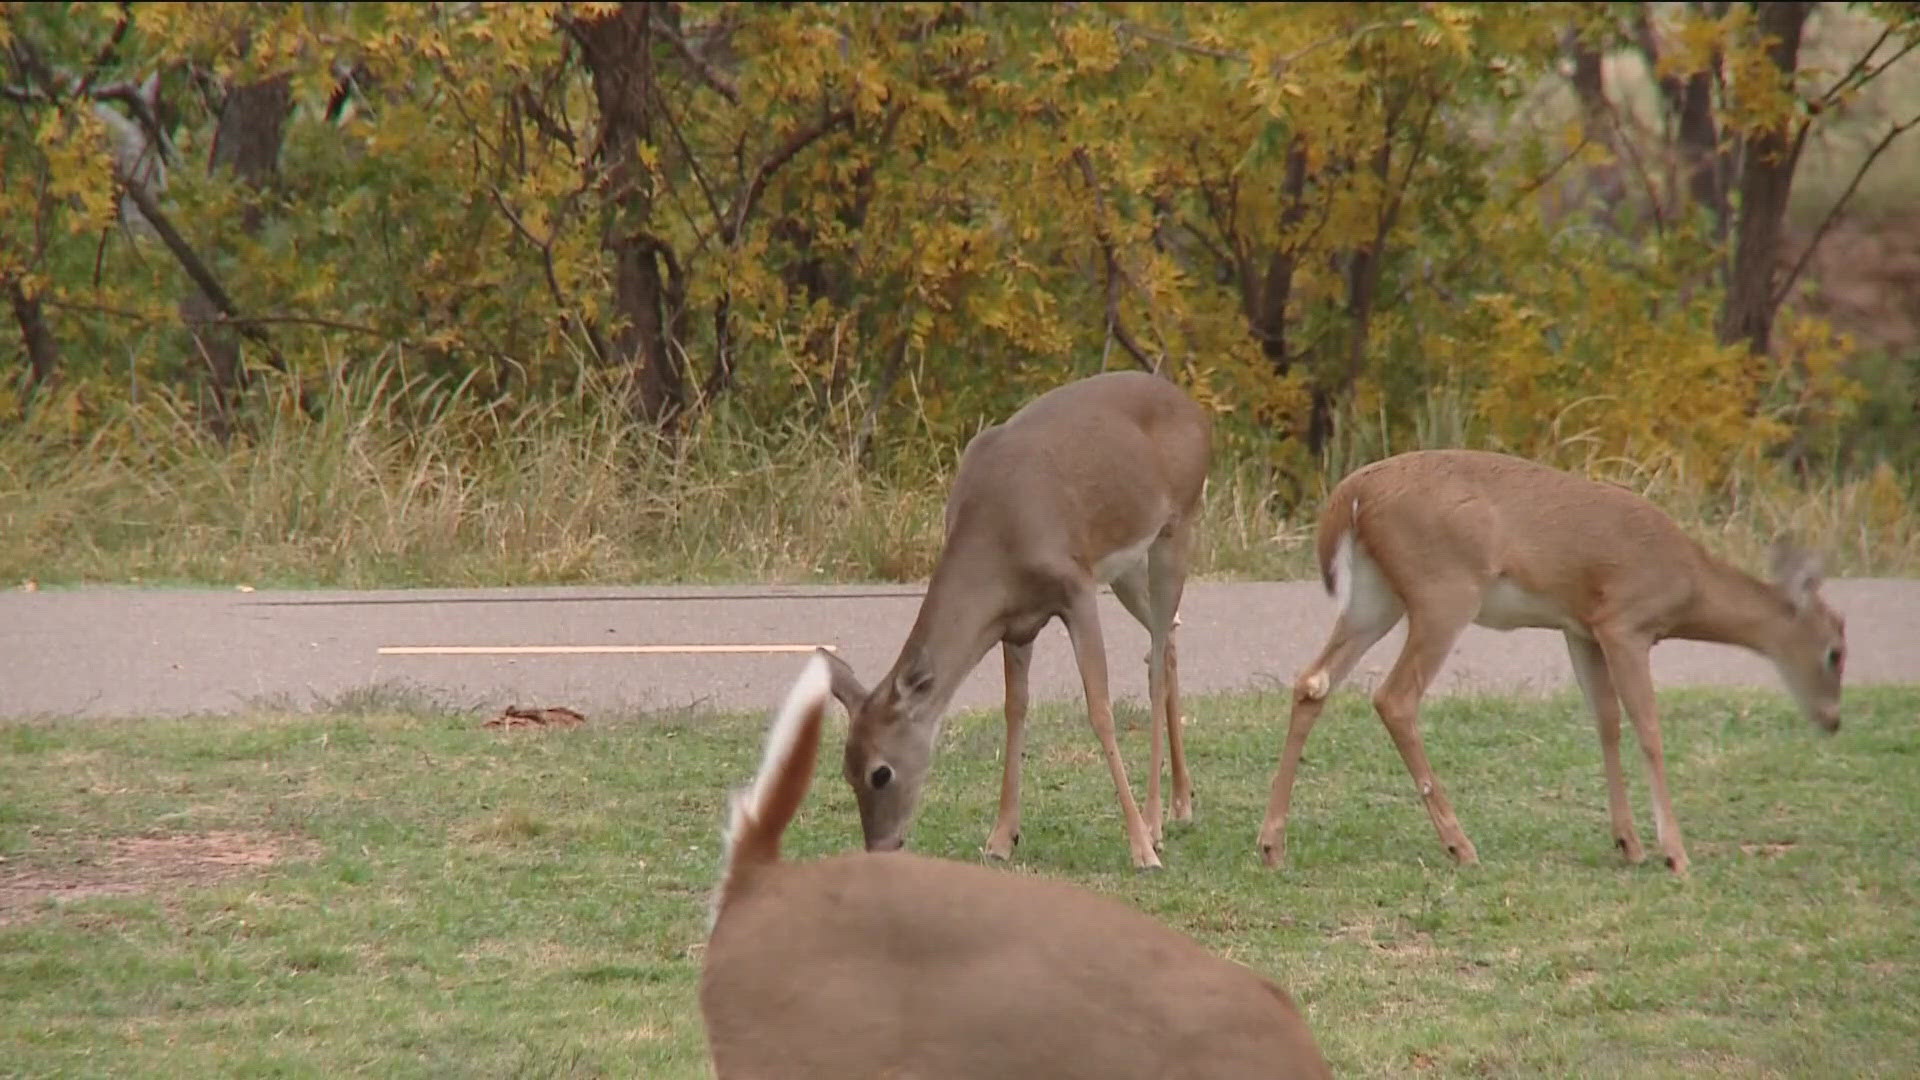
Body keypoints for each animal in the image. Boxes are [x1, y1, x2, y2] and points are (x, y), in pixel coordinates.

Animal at [817, 367, 1205, 864]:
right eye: (845, 771)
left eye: (880, 772)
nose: (879, 847)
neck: (1000, 535)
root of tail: (1193, 408)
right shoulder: (1015, 623)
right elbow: (1014, 708)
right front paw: (1002, 838)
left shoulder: (1076, 587)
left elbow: (1099, 709)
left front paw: (1139, 847)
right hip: (1128, 570)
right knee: (1167, 638)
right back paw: (1181, 803)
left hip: (1177, 528)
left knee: (1155, 661)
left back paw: (1155, 823)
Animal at [1251, 445, 1850, 876]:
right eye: (1835, 652)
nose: (1833, 720)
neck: (1690, 585)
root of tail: (1351, 494)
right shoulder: (1626, 622)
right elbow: (1648, 726)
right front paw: (1675, 853)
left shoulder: (1580, 629)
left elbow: (1605, 720)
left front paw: (1628, 842)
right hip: (1445, 588)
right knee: (1394, 697)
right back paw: (1460, 845)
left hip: (1376, 597)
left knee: (1313, 681)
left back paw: (1272, 845)